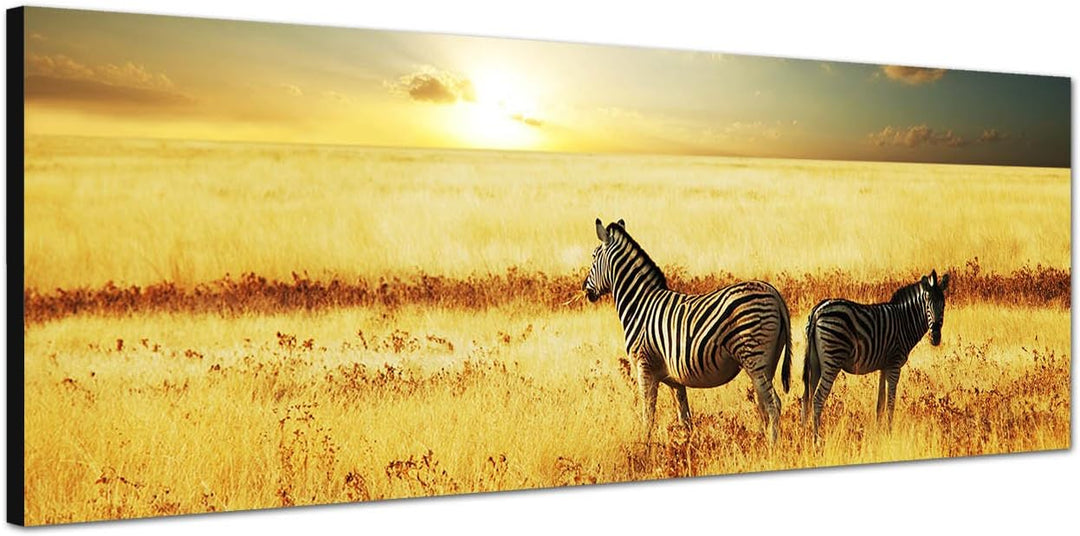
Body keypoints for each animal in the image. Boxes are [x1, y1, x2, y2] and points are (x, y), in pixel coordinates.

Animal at [582, 218, 793, 445]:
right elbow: (685, 419)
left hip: (754, 357)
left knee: (773, 405)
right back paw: (760, 443)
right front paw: (687, 447)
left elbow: (648, 415)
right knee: (764, 405)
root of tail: (774, 293)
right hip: (767, 362)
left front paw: (645, 448)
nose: (585, 289)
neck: (639, 305)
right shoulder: (675, 379)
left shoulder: (644, 366)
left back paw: (771, 447)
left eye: (593, 256)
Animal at [801, 270, 950, 442]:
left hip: (815, 363)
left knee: (806, 397)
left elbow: (880, 403)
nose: (935, 337)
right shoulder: (894, 364)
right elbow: (891, 402)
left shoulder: (884, 366)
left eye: (943, 306)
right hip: (832, 359)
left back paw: (803, 434)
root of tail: (817, 311)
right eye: (927, 305)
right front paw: (890, 432)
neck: (905, 321)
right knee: (818, 398)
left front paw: (879, 432)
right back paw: (816, 440)